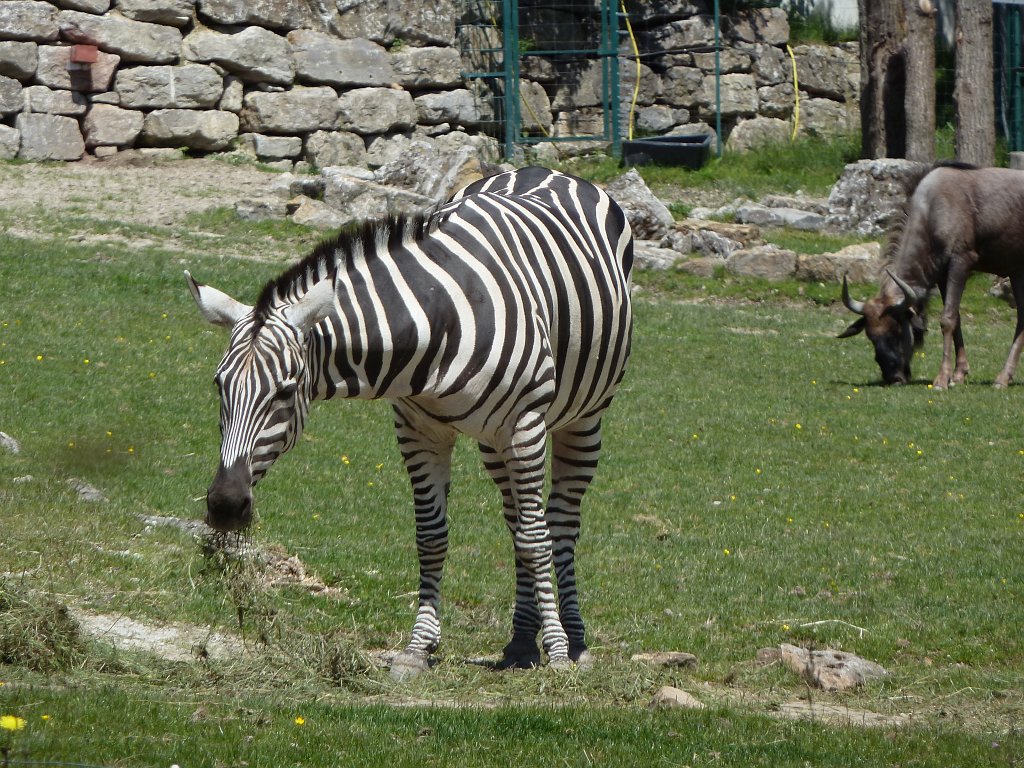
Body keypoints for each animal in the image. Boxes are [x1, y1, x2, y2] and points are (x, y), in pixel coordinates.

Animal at [185, 166, 633, 679]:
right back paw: (521, 641)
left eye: (285, 390)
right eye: (219, 386)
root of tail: (542, 169)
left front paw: (557, 652)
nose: (224, 505)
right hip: (492, 439)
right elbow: (433, 536)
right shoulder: (419, 430)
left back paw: (573, 640)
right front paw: (418, 648)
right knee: (516, 519)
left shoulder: (524, 426)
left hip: (581, 419)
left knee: (558, 523)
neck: (438, 322)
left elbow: (537, 538)